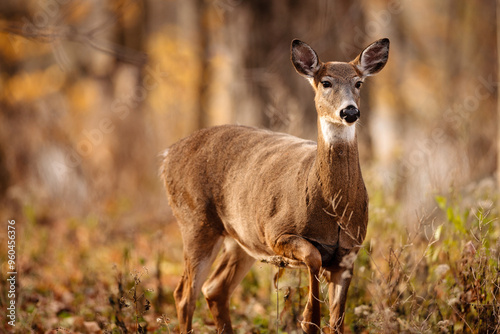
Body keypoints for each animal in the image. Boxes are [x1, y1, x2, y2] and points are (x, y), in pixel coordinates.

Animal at [162, 37, 388, 332]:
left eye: (359, 82)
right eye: (326, 82)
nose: (349, 111)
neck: (332, 208)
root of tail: (167, 155)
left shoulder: (349, 253)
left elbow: (337, 322)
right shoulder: (276, 232)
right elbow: (313, 258)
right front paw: (307, 316)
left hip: (240, 238)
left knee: (214, 289)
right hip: (195, 222)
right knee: (183, 294)